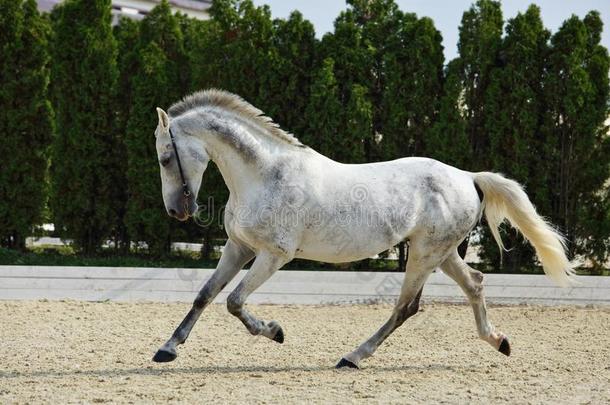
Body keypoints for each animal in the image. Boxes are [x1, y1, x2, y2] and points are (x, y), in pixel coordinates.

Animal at [150, 90, 572, 368]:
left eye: (166, 157)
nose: (176, 211)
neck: (264, 175)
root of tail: (468, 177)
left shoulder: (273, 255)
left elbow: (235, 301)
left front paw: (275, 331)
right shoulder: (238, 248)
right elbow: (205, 295)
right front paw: (167, 349)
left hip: (424, 254)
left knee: (406, 307)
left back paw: (353, 357)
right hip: (440, 252)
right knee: (475, 284)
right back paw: (499, 341)